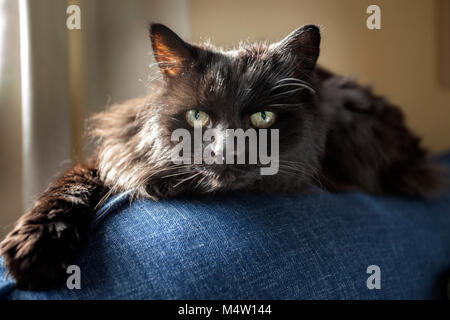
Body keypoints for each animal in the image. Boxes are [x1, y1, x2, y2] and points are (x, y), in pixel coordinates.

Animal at [0, 23, 444, 288]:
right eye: (198, 117)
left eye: (263, 118)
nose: (226, 150)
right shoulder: (115, 148)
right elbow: (70, 186)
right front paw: (35, 248)